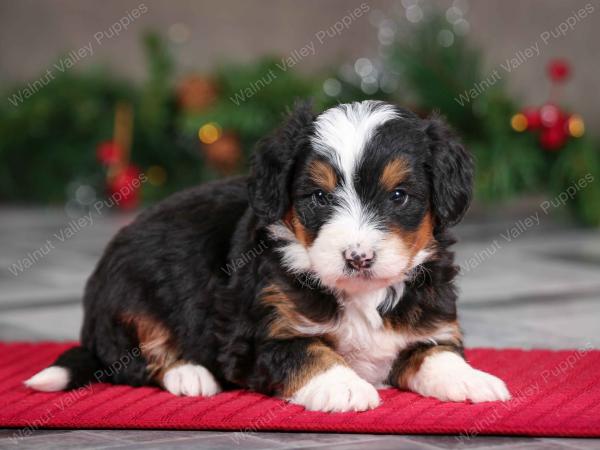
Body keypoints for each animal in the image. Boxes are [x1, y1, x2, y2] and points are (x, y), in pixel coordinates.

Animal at [25, 101, 508, 412]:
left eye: (399, 196)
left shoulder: (429, 325)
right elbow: (308, 352)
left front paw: (471, 379)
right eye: (318, 197)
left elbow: (436, 353)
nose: (357, 257)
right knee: (132, 358)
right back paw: (189, 374)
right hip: (130, 296)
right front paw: (344, 387)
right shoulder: (259, 337)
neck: (360, 294)